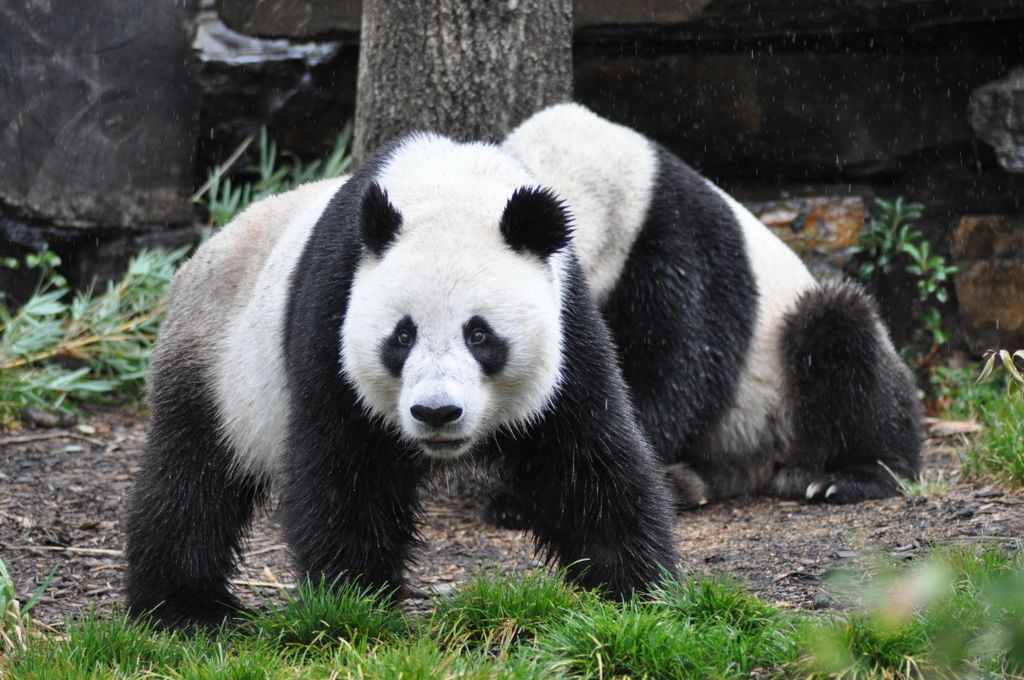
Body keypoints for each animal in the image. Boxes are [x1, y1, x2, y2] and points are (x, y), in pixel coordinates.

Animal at [123, 132, 679, 628]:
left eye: (479, 334)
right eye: (402, 336)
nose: (437, 412)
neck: (449, 186)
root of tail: (200, 254)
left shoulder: (570, 325)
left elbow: (583, 461)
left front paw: (636, 592)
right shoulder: (333, 313)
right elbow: (345, 471)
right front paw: (357, 604)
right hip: (219, 360)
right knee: (193, 477)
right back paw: (185, 607)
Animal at [498, 103, 922, 512]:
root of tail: (760, 468)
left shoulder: (675, 239)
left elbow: (682, 364)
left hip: (784, 385)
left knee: (840, 333)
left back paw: (851, 476)